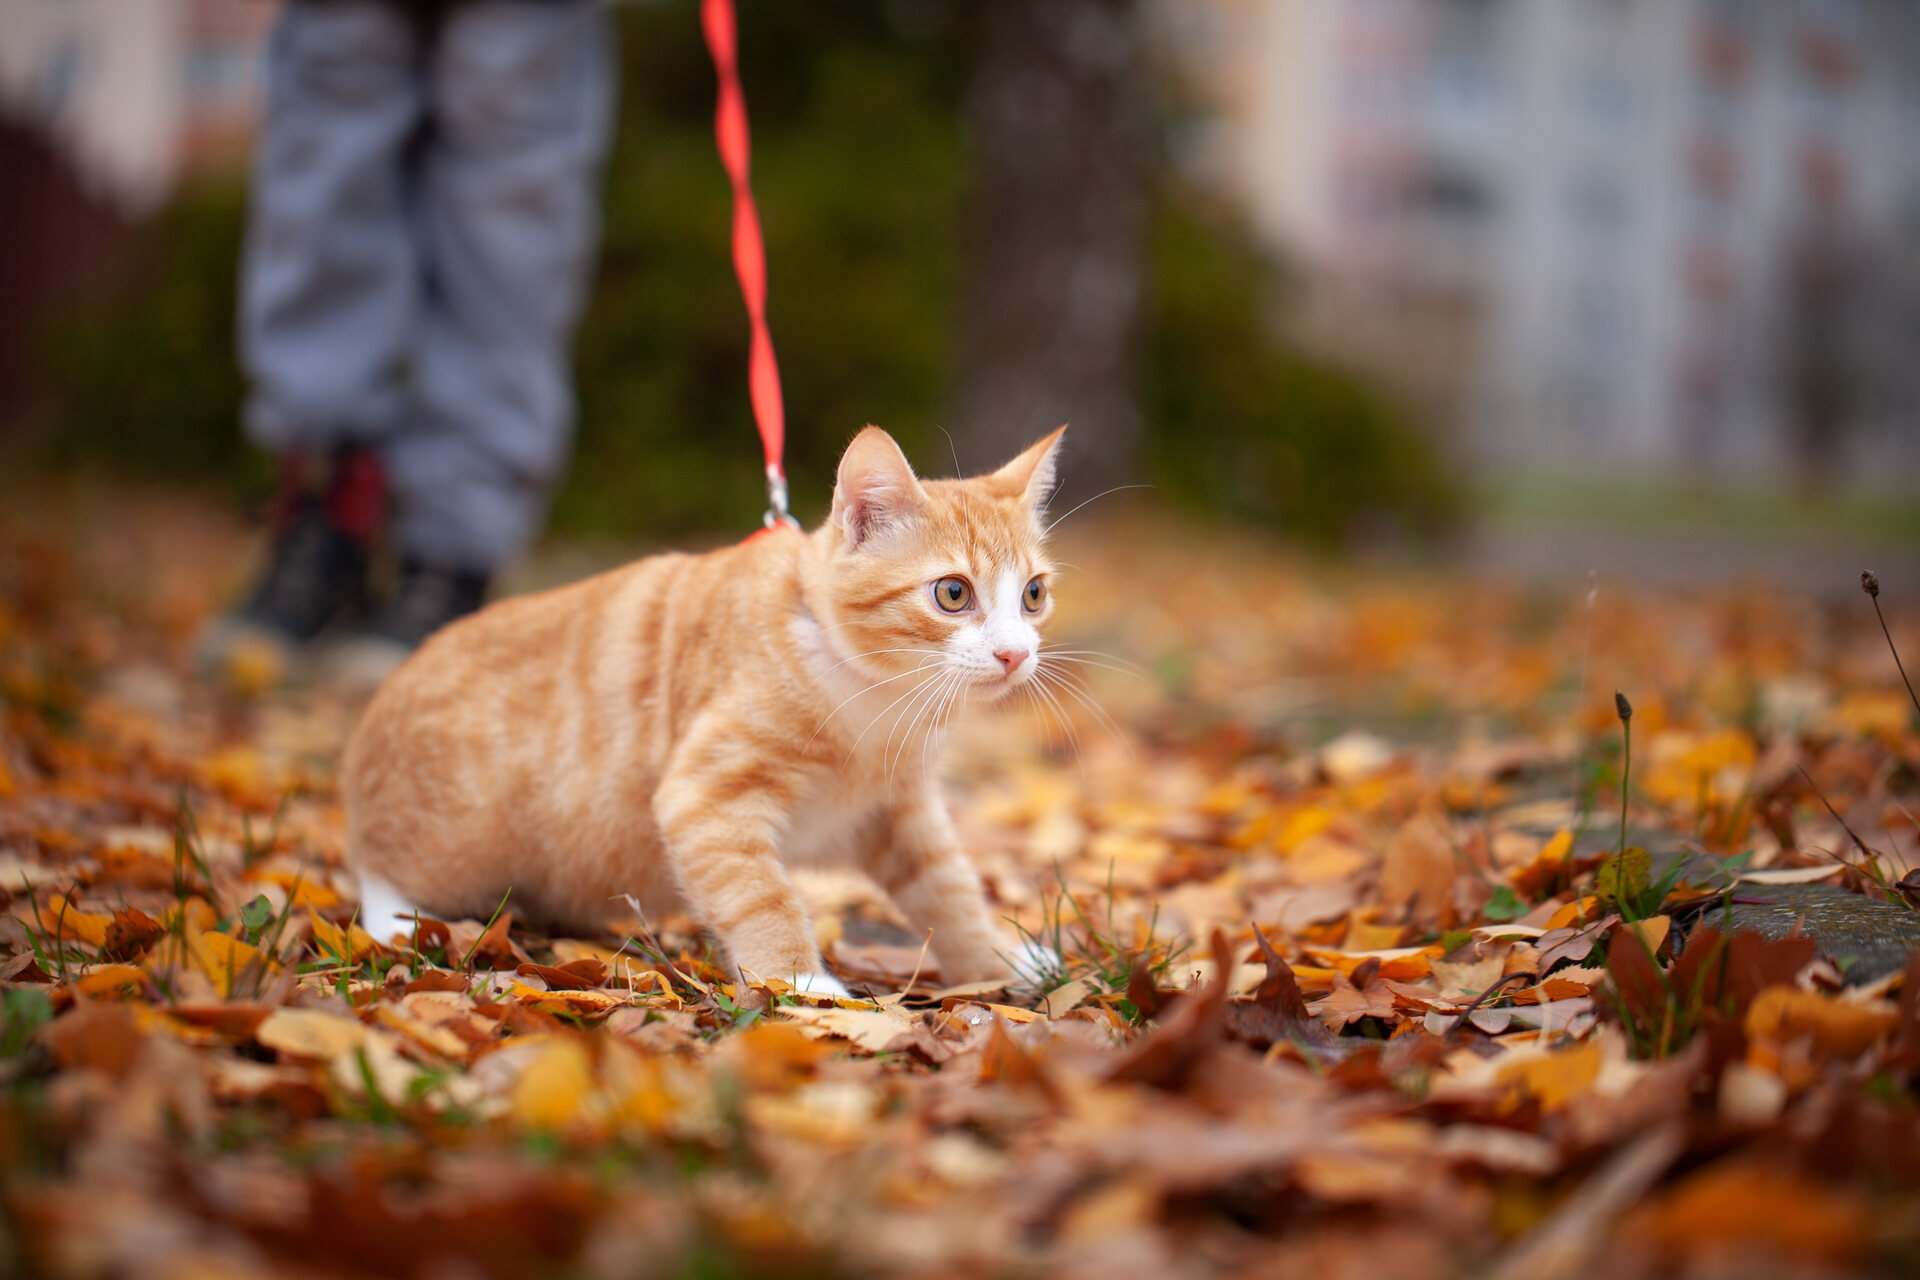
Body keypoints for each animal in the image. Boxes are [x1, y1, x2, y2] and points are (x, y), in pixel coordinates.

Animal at [345, 426, 1067, 997]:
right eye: (953, 593)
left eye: (1033, 595)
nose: (1014, 653)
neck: (877, 700)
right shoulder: (705, 799)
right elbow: (761, 895)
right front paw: (803, 982)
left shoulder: (899, 810)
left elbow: (949, 887)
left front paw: (996, 960)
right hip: (457, 834)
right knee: (376, 861)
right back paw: (399, 921)